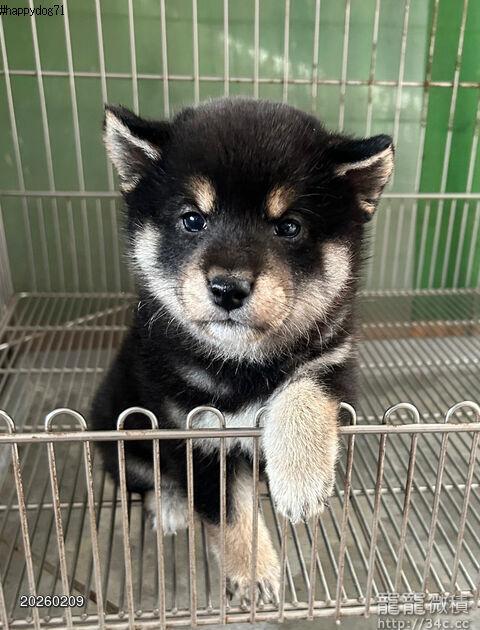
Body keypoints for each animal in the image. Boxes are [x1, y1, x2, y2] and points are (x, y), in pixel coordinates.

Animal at [91, 97, 393, 602]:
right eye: (193, 219)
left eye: (288, 226)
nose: (227, 288)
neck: (243, 365)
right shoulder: (195, 435)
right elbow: (228, 511)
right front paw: (253, 569)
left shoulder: (334, 359)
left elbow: (303, 389)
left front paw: (300, 476)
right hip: (120, 422)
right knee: (142, 476)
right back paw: (170, 505)